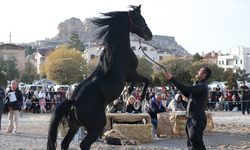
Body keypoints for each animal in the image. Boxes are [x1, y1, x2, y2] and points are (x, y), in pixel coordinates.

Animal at [46, 4, 152, 150]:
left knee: (65, 143)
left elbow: (135, 84)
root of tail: (72, 101)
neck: (119, 51)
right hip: (96, 126)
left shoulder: (131, 76)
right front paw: (139, 101)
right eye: (141, 20)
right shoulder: (132, 74)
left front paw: (129, 94)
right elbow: (146, 80)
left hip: (74, 126)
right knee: (84, 144)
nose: (150, 35)